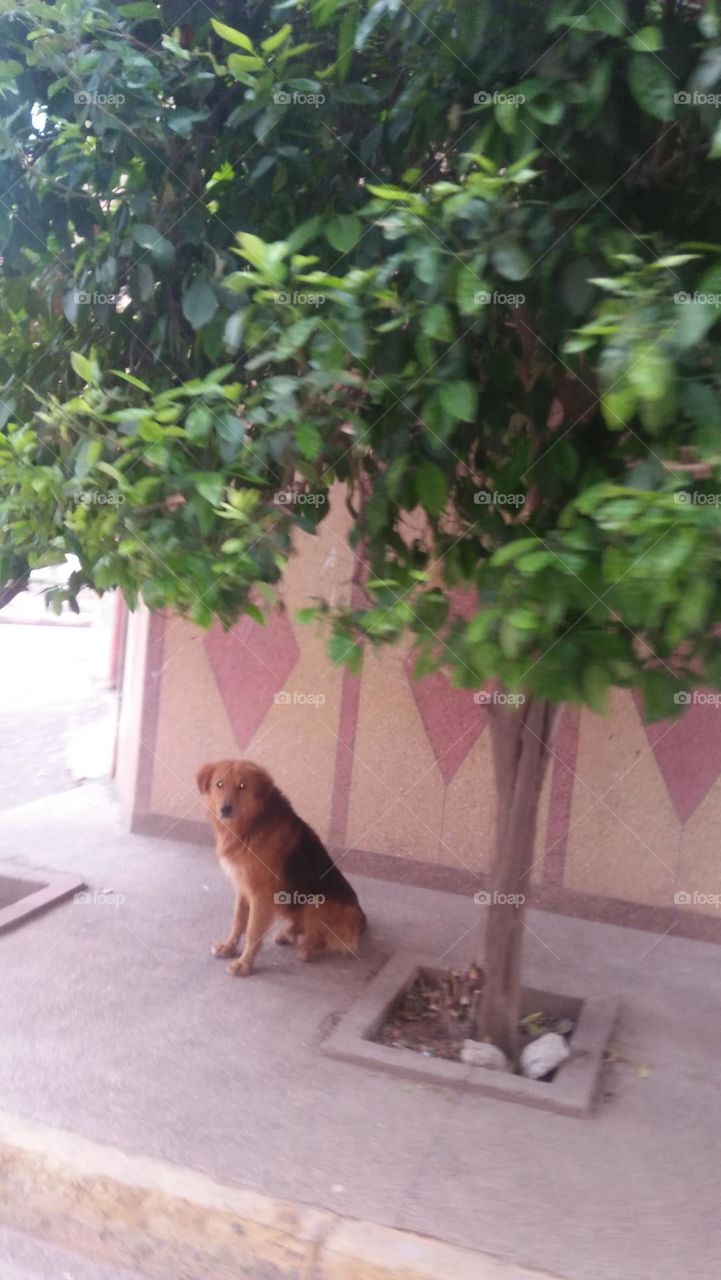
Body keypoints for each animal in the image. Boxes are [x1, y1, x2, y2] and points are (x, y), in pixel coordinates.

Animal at [195, 757, 366, 977]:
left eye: (242, 786)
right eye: (220, 784)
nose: (225, 809)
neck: (250, 826)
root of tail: (361, 918)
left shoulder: (261, 894)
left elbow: (252, 931)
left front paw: (244, 964)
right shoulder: (242, 886)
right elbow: (238, 921)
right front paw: (228, 947)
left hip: (316, 904)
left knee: (326, 939)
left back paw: (310, 950)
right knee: (300, 924)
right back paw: (288, 934)